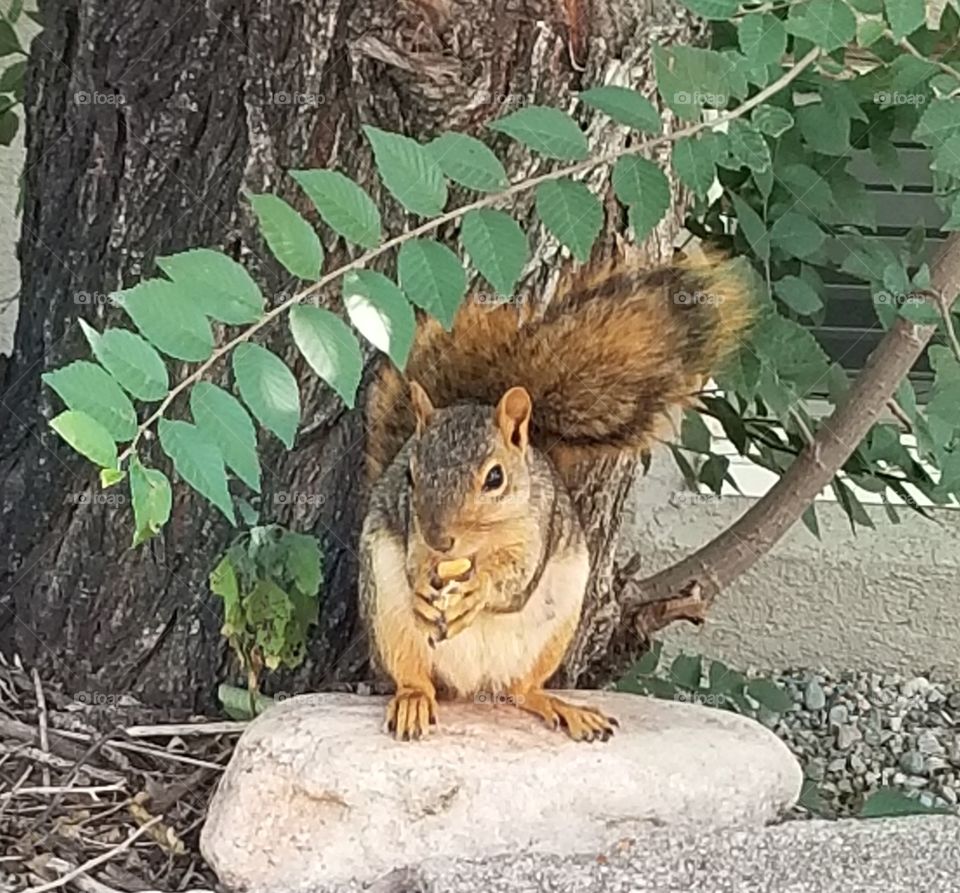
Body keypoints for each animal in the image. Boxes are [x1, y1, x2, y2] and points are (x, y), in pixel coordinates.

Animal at [359, 251, 753, 741]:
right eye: (409, 475)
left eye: (494, 478)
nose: (440, 540)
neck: (476, 546)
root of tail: (471, 687)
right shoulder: (408, 526)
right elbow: (415, 561)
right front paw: (422, 588)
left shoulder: (538, 527)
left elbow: (514, 580)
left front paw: (477, 589)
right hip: (388, 620)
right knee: (415, 677)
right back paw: (414, 699)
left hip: (555, 628)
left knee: (522, 688)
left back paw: (561, 706)